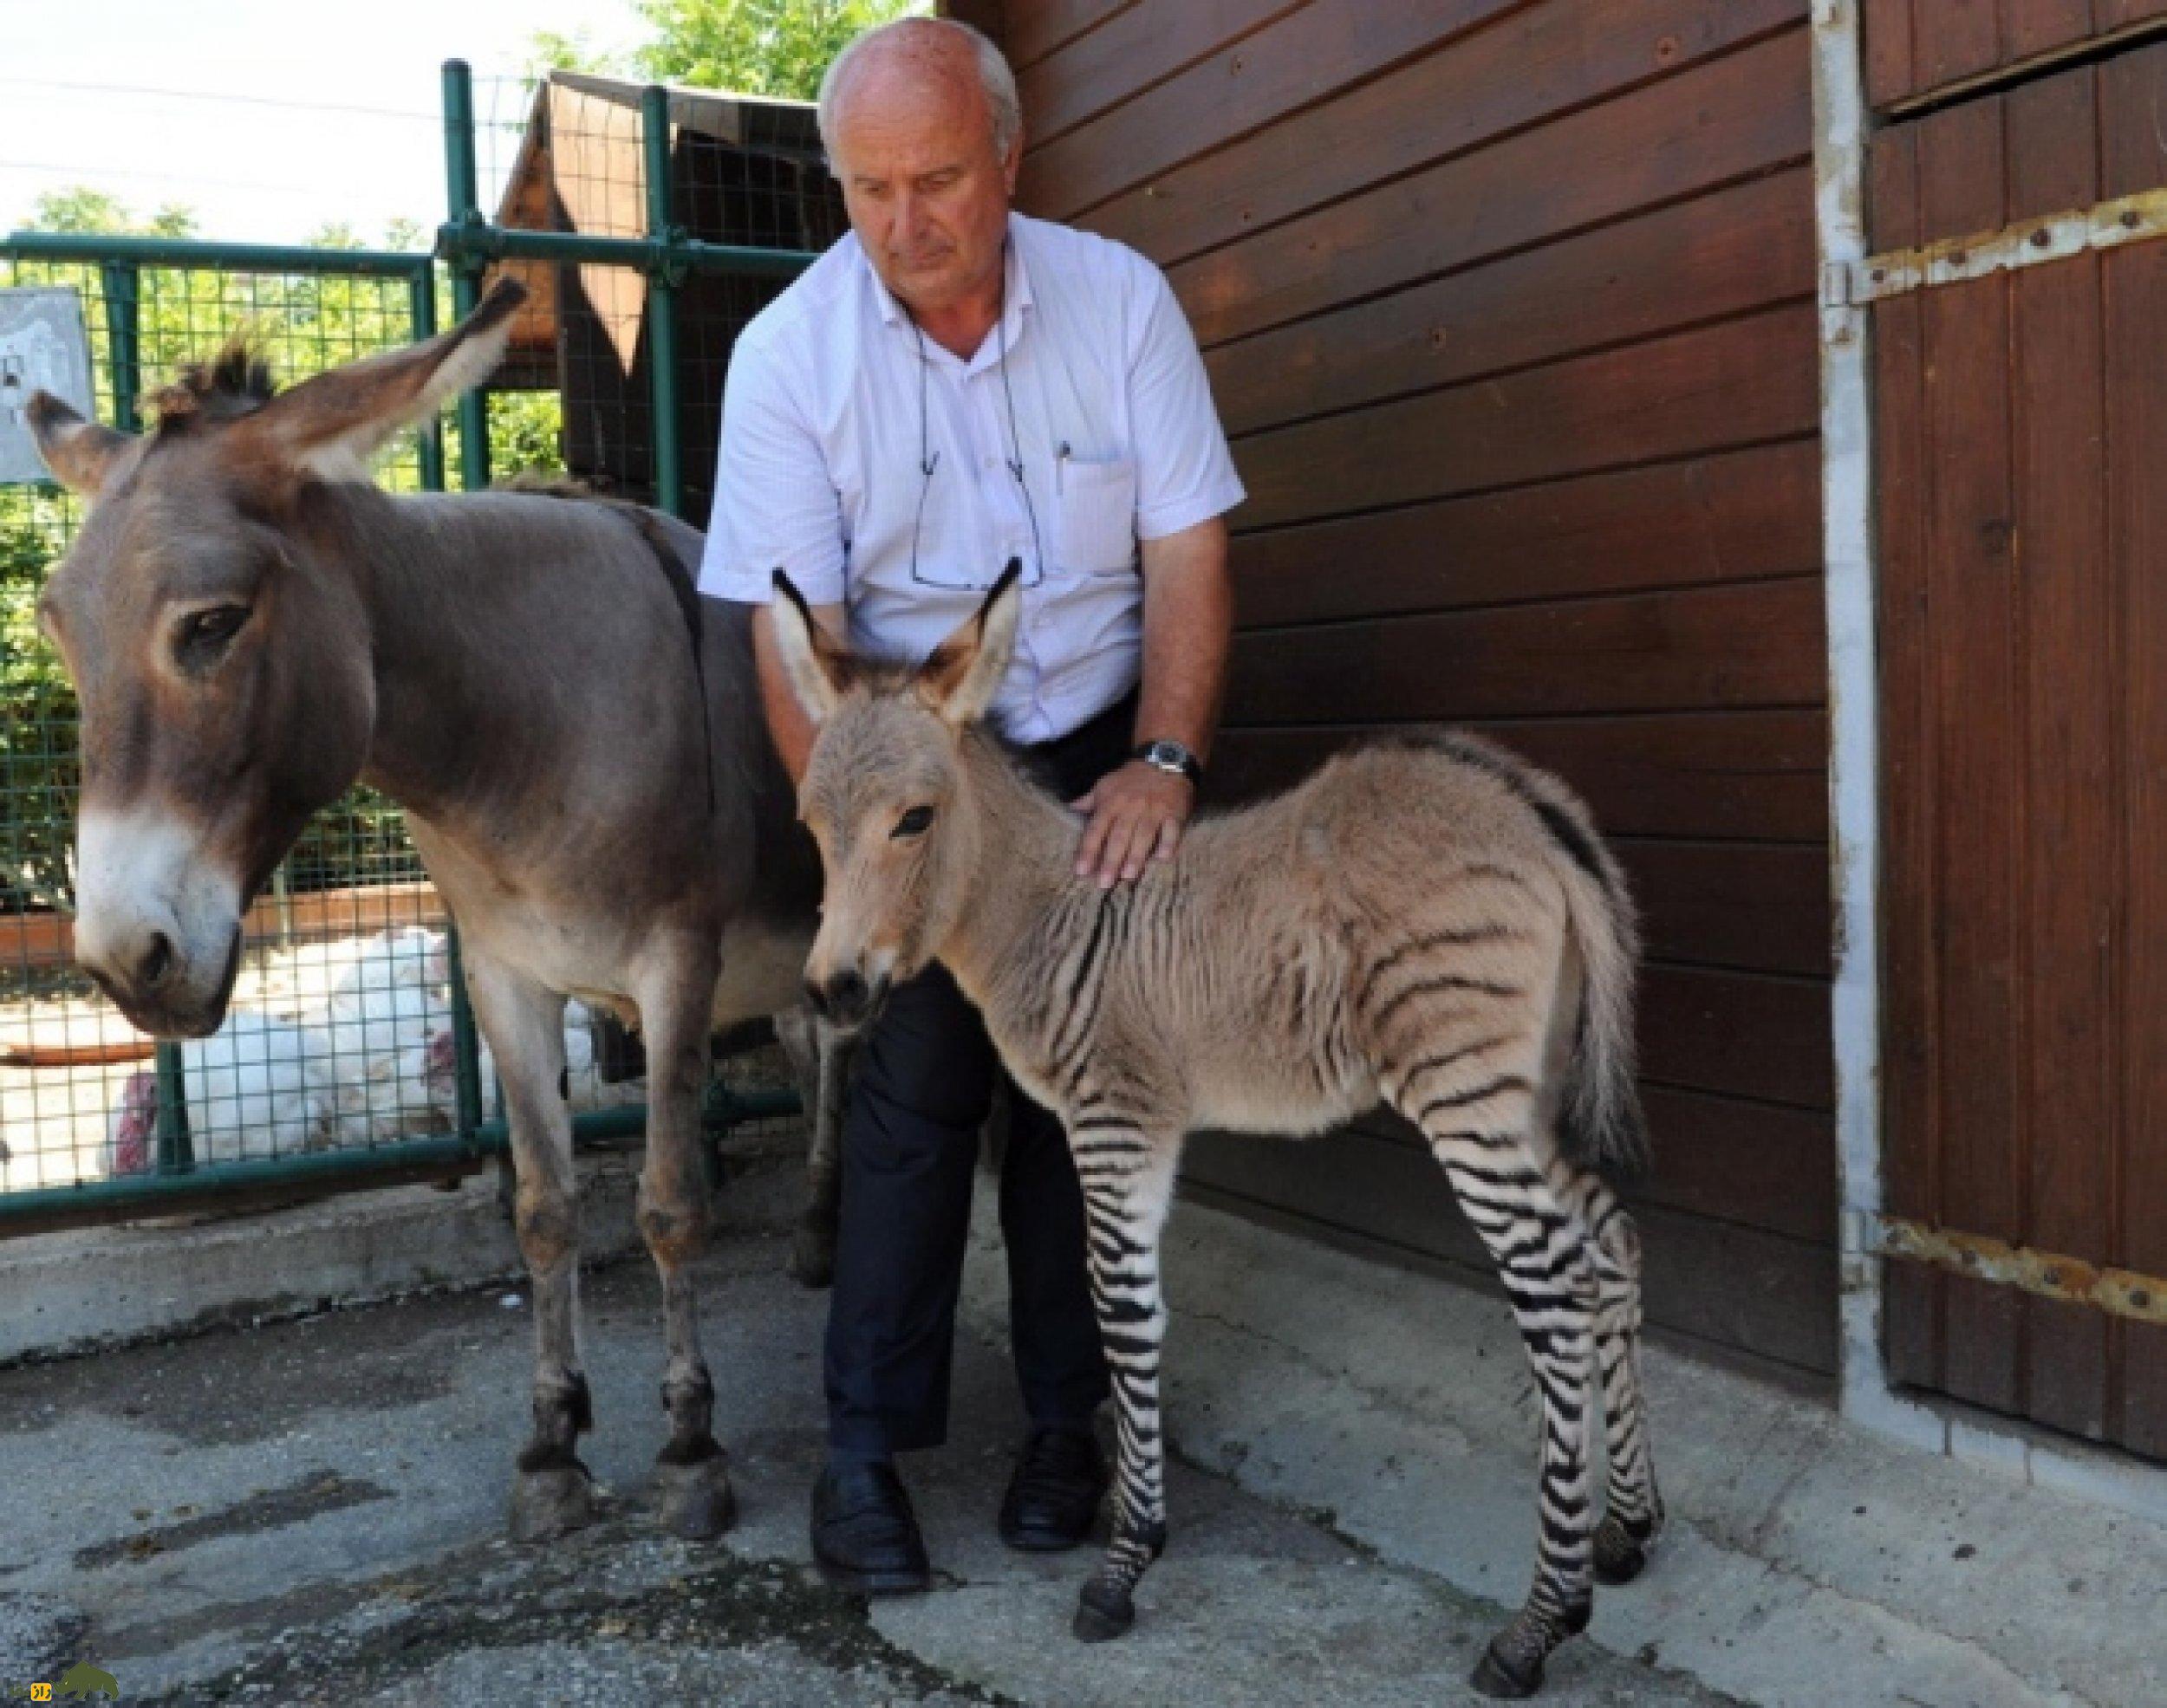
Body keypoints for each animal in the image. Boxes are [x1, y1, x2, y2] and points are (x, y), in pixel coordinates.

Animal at [776, 572, 1656, 1690]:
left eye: (914, 820)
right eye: (809, 824)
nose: (834, 995)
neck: (1050, 910)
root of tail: (1535, 816)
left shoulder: (1117, 1117)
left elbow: (1123, 1314)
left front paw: (1122, 1563)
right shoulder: (1125, 1125)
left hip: (1464, 1088)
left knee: (1555, 1285)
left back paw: (1540, 1621)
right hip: (1525, 1089)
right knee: (1610, 1240)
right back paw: (1627, 1528)